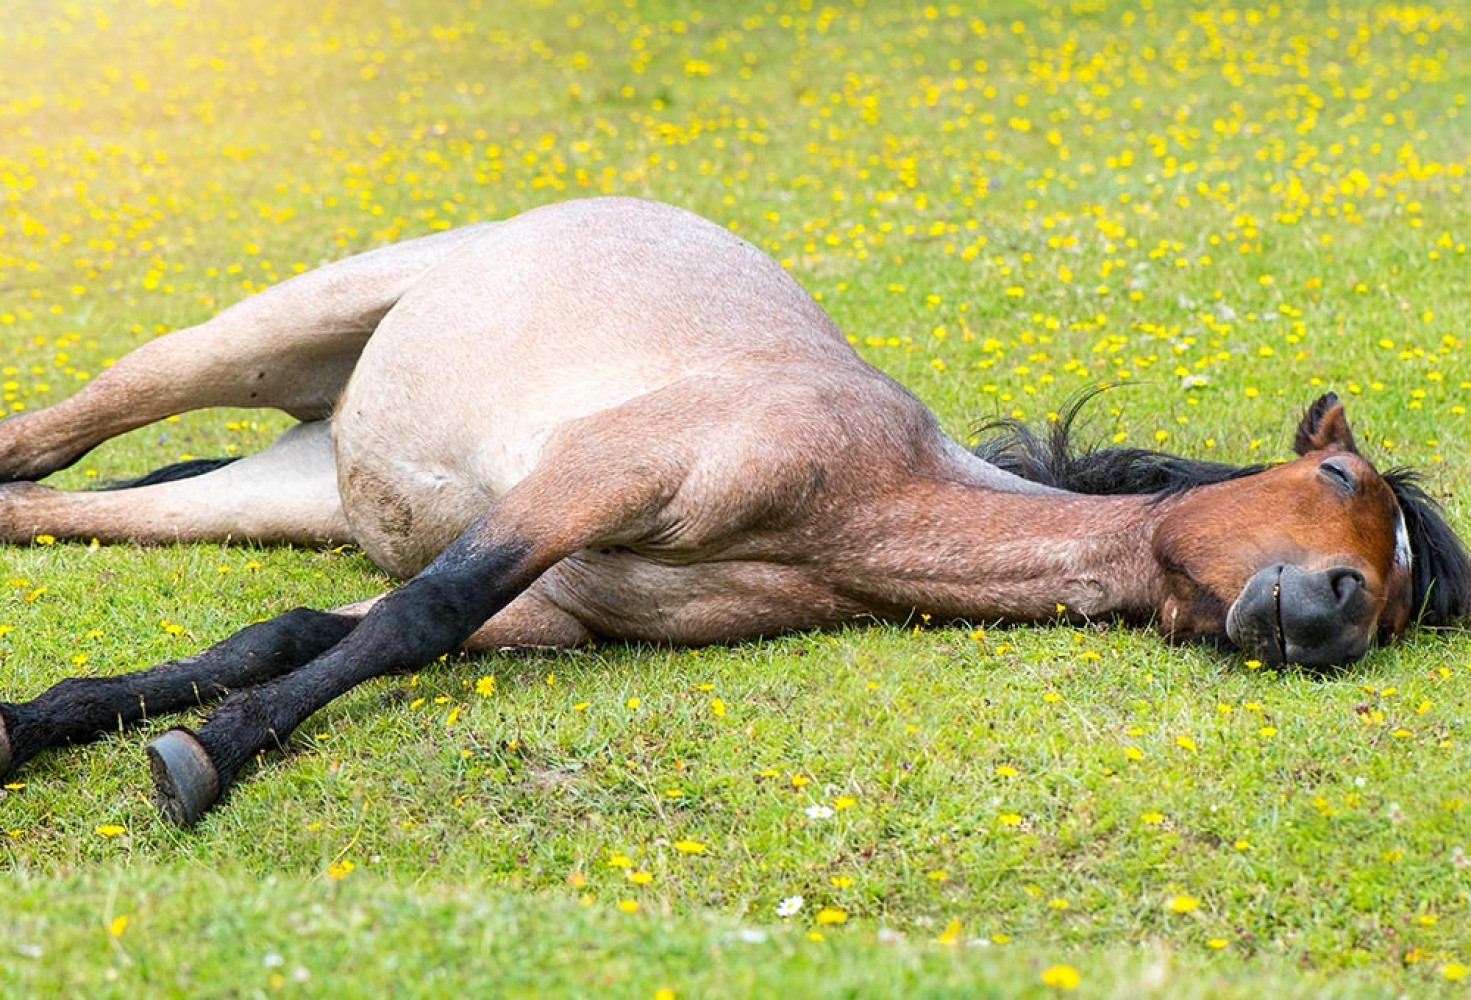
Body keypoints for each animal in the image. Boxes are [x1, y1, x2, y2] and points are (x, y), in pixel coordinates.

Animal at [2, 192, 1471, 817]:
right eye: (1336, 480)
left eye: (1400, 603)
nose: (1333, 610)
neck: (867, 498)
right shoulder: (593, 481)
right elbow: (418, 617)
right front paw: (208, 757)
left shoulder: (560, 613)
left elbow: (295, 635)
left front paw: (45, 726)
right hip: (253, 337)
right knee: (59, 430)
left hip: (286, 489)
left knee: (50, 508)